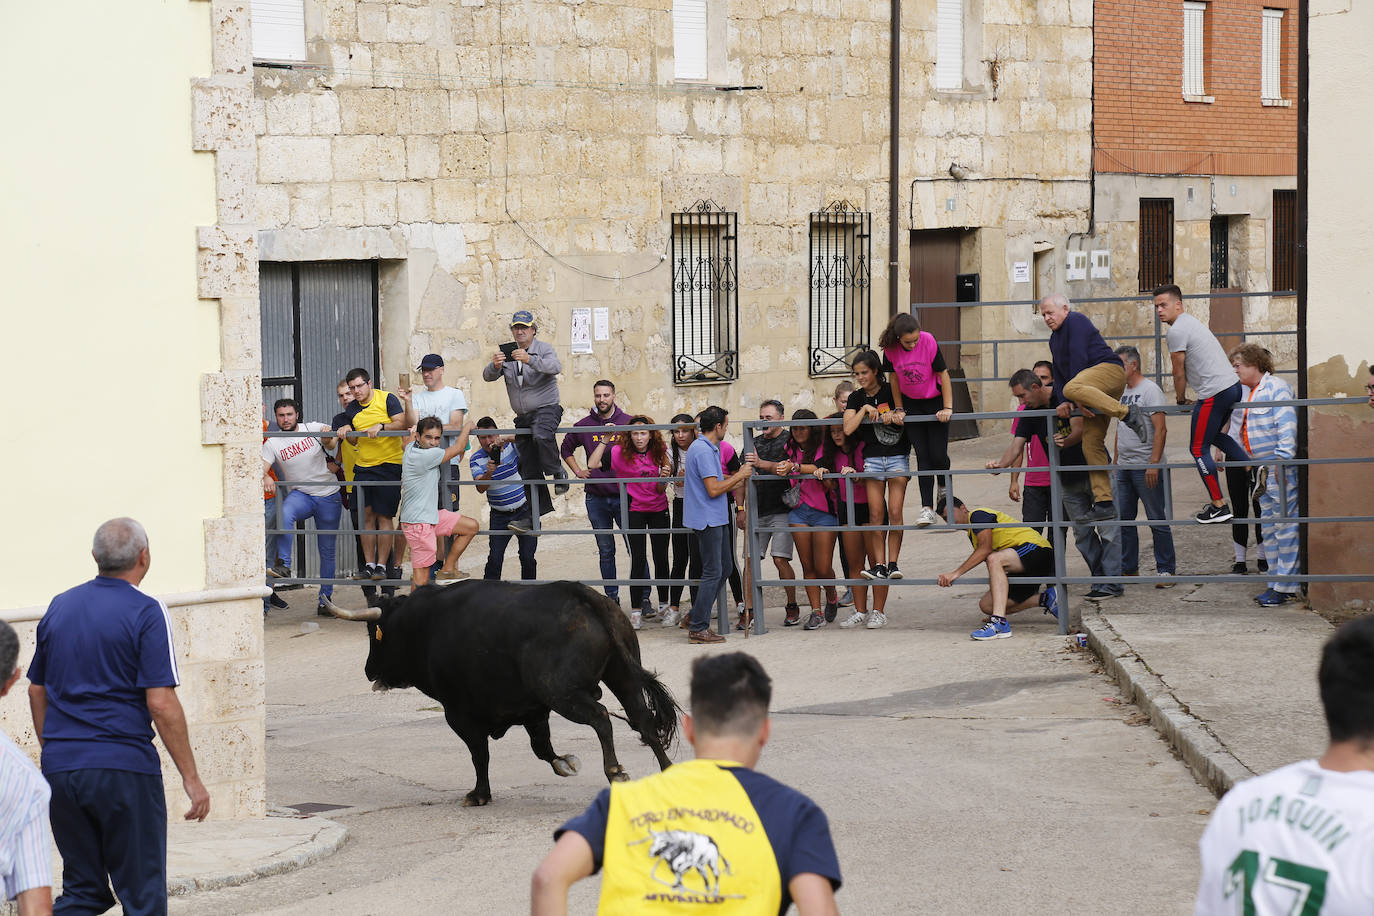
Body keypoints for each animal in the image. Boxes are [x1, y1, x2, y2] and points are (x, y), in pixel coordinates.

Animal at [328, 585, 681, 807]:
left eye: (375, 635)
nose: (368, 670)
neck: (424, 624)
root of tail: (581, 595)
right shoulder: (533, 711)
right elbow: (541, 748)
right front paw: (564, 762)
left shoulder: (459, 714)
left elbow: (479, 754)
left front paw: (479, 794)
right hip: (622, 677)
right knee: (643, 720)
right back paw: (667, 772)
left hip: (563, 693)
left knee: (601, 717)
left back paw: (615, 772)